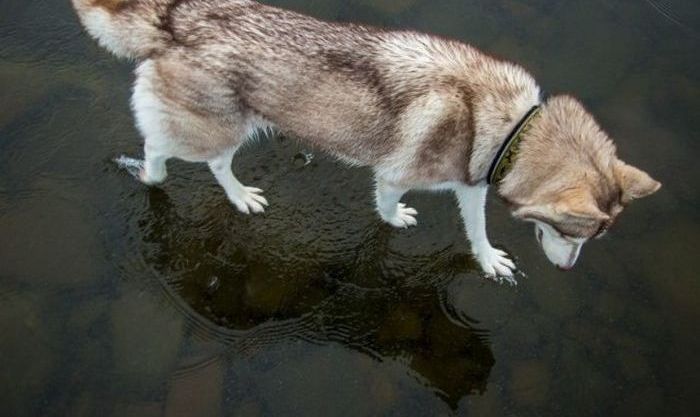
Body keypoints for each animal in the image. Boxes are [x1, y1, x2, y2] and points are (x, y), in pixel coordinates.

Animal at [71, 0, 660, 282]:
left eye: (591, 239)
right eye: (571, 233)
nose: (567, 270)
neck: (512, 126)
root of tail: (177, 16)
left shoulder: (471, 182)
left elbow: (477, 227)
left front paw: (488, 259)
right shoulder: (396, 174)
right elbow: (387, 203)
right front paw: (394, 220)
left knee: (206, 160)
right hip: (212, 128)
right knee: (169, 152)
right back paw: (168, 177)